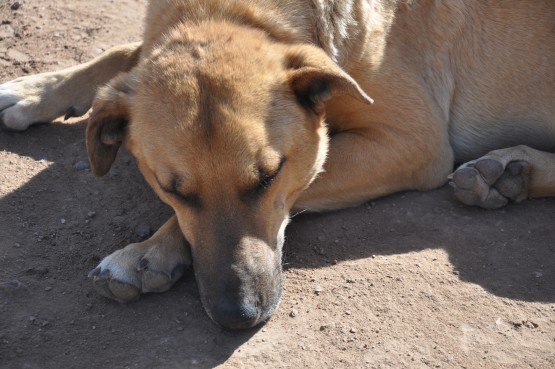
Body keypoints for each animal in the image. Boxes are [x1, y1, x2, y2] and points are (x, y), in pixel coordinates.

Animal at [1, 0, 555, 328]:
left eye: (269, 177)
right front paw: (36, 90)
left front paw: (148, 252)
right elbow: (123, 52)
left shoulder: (410, 142)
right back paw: (509, 173)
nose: (238, 316)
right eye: (174, 190)